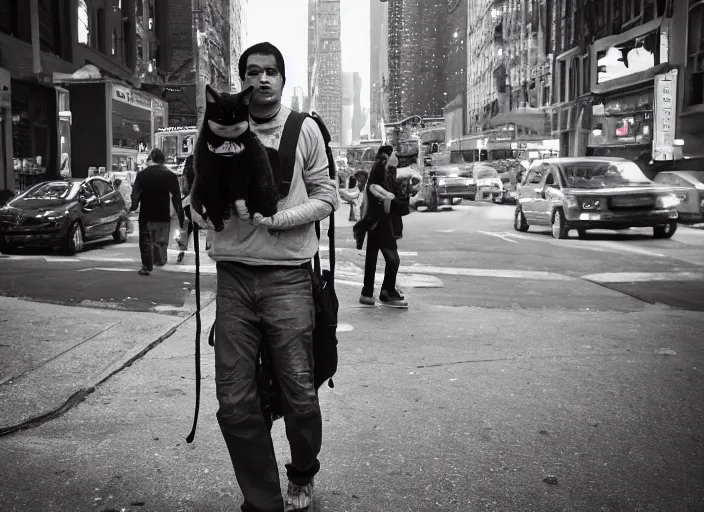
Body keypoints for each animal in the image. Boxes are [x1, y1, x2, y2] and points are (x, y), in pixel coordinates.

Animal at [194, 84, 282, 232]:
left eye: (235, 115)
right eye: (220, 115)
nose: (228, 123)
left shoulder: (254, 155)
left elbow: (260, 178)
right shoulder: (206, 174)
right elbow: (212, 197)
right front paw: (217, 222)